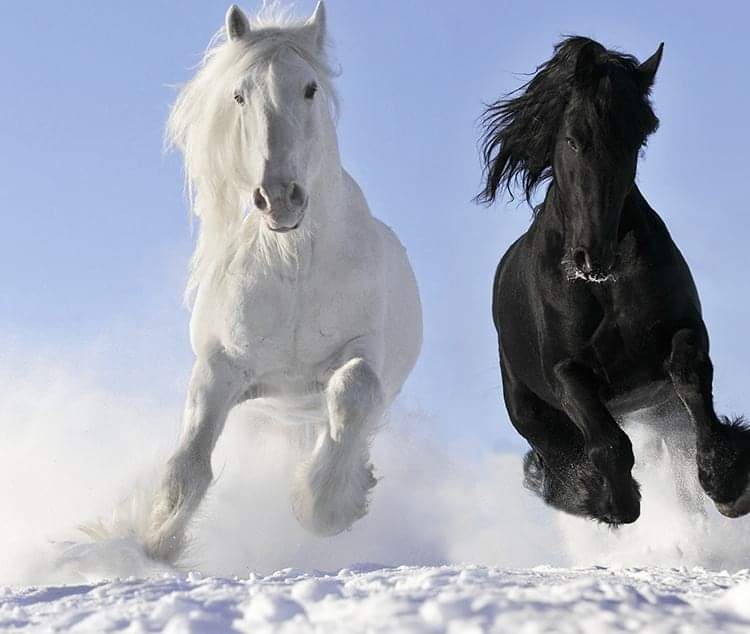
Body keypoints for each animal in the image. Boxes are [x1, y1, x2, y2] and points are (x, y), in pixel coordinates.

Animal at [144, 2, 422, 563]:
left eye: (310, 88)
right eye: (239, 94)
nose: (278, 198)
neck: (293, 266)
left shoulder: (364, 351)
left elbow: (354, 389)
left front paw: (324, 506)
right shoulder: (221, 367)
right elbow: (189, 463)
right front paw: (155, 542)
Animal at [478, 36, 750, 525]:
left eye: (637, 139)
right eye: (573, 138)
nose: (592, 255)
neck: (603, 288)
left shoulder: (683, 333)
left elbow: (691, 378)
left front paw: (727, 481)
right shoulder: (566, 372)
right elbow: (607, 445)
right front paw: (611, 500)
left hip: (658, 410)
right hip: (532, 413)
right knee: (559, 460)